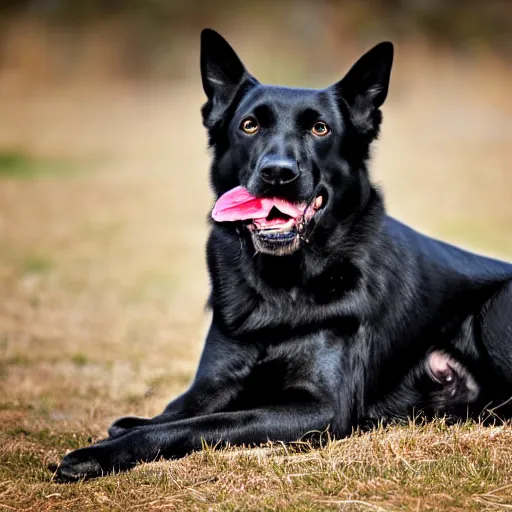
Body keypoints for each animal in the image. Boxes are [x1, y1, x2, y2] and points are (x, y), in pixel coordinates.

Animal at [54, 30, 512, 482]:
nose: (278, 173)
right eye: (249, 125)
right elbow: (176, 412)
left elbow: (208, 423)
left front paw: (100, 452)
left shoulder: (318, 408)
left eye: (320, 129)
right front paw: (123, 429)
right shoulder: (213, 381)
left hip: (494, 314)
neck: (280, 285)